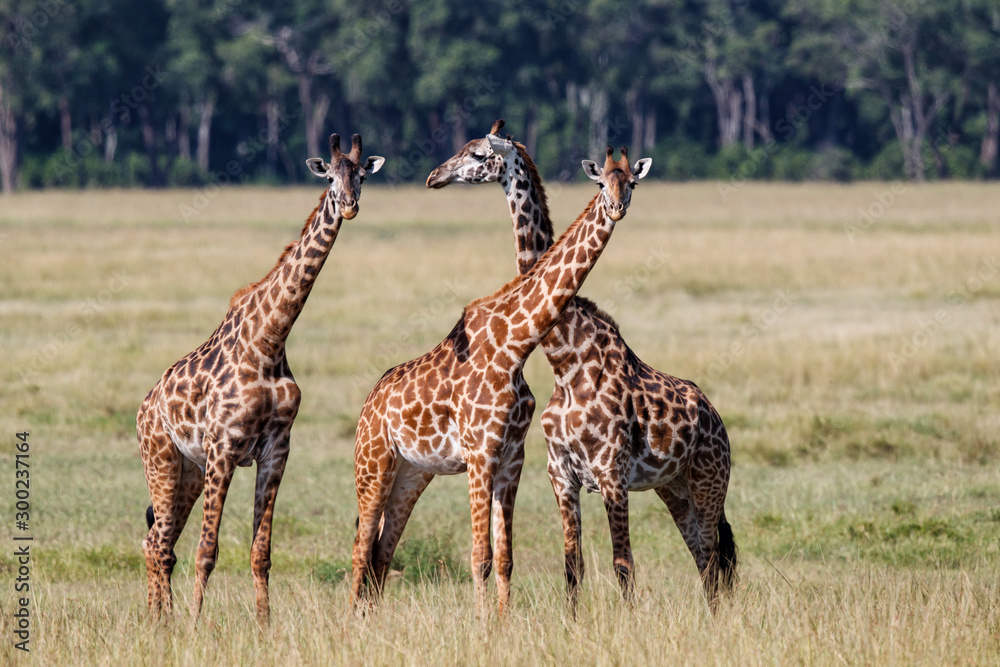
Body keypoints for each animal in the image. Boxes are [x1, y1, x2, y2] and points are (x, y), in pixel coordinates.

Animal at [137, 133, 384, 624]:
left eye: (362, 176)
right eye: (330, 178)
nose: (349, 206)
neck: (270, 339)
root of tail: (142, 410)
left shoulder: (276, 449)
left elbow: (260, 553)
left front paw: (264, 623)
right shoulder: (223, 447)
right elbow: (207, 550)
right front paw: (195, 625)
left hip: (188, 472)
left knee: (160, 540)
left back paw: (159, 620)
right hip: (161, 460)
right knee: (158, 543)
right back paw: (164, 621)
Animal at [352, 144, 651, 618]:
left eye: (633, 182)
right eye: (602, 182)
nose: (434, 177)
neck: (516, 344)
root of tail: (367, 405)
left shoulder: (512, 458)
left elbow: (505, 557)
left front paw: (502, 623)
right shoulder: (479, 454)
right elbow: (480, 555)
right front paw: (480, 625)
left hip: (412, 473)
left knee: (382, 550)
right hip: (373, 464)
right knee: (360, 548)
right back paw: (350, 623)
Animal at [427, 120, 737, 613]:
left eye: (631, 183)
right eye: (599, 182)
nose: (434, 176)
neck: (566, 361)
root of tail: (716, 417)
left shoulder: (612, 473)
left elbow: (623, 565)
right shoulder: (561, 475)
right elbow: (573, 567)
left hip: (709, 480)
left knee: (712, 557)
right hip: (674, 487)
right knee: (705, 557)